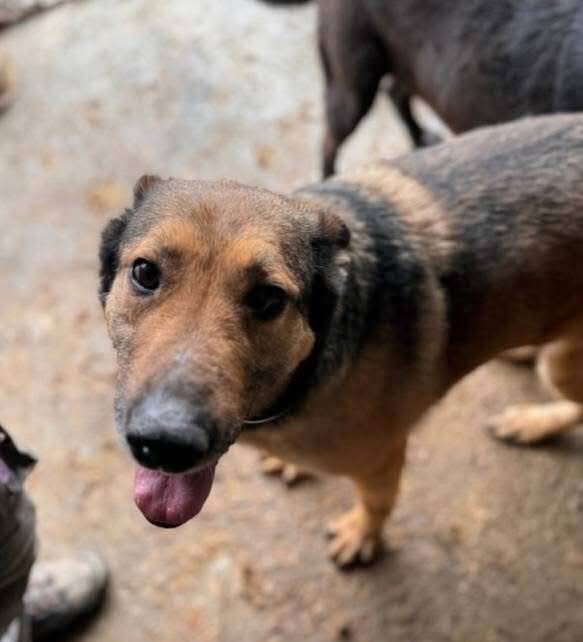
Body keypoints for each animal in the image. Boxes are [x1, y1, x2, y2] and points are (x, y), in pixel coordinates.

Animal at [100, 114, 583, 568]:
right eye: (145, 272)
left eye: (269, 299)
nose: (165, 444)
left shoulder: (382, 457)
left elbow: (378, 502)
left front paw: (363, 535)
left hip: (563, 367)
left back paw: (533, 422)